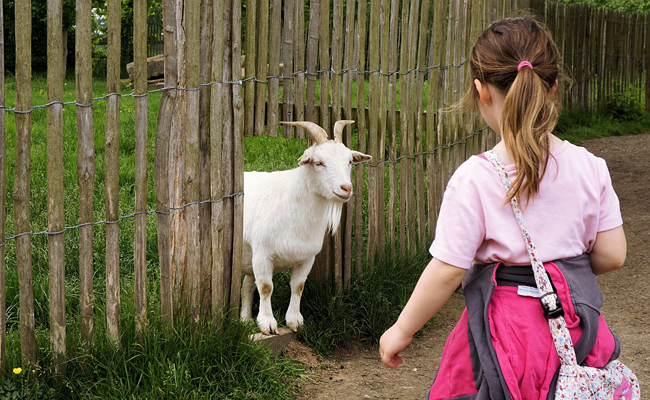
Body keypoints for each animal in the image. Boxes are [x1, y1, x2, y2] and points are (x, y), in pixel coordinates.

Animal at [240, 119, 370, 334]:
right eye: (319, 163)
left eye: (350, 161)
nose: (346, 188)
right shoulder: (262, 254)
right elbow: (266, 287)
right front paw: (267, 323)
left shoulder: (307, 257)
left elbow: (298, 286)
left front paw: (294, 320)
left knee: (247, 285)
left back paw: (245, 320)